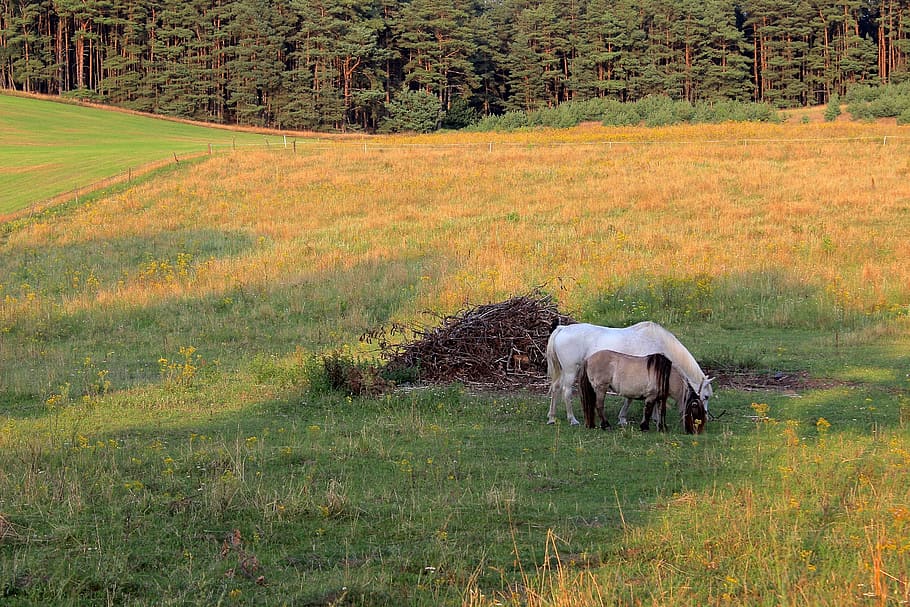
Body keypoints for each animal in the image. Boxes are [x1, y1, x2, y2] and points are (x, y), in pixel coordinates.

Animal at [578, 350, 707, 434]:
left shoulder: (660, 398)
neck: (666, 375)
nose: (695, 432)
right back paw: (606, 425)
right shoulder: (651, 397)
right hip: (601, 389)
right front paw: (644, 427)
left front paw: (662, 428)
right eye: (696, 410)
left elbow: (661, 412)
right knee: (599, 406)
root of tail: (588, 359)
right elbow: (648, 411)